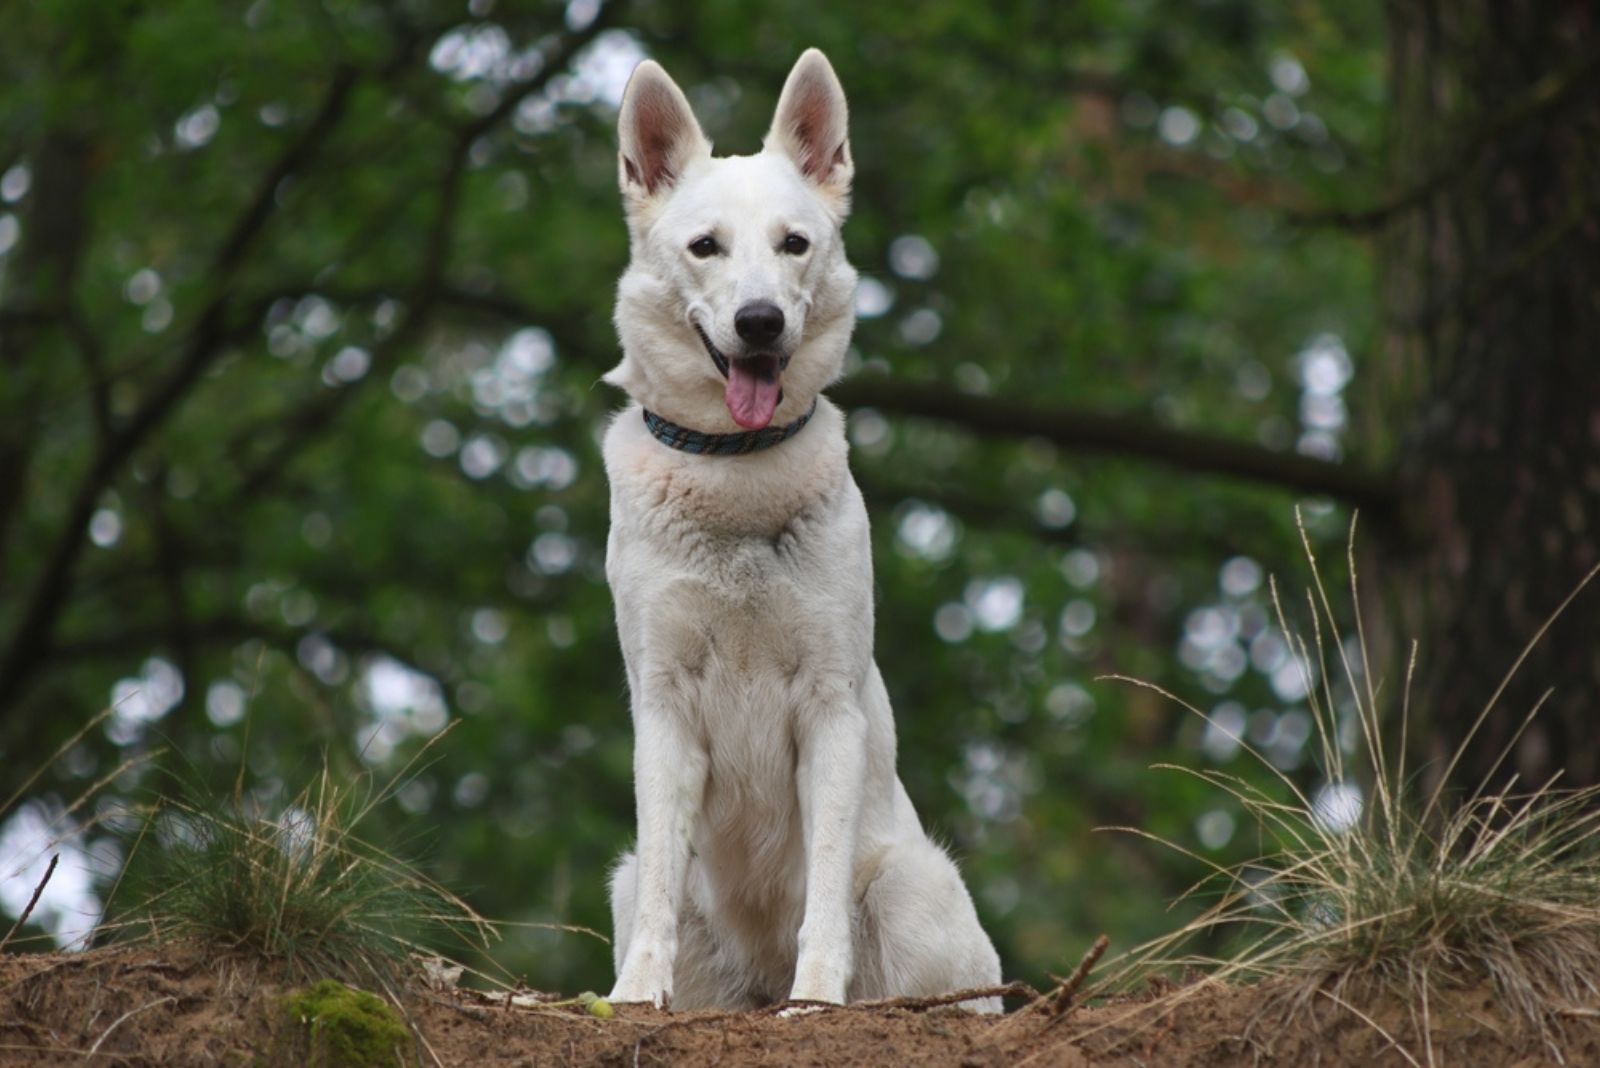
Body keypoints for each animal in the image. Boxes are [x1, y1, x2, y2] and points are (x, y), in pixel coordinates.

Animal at [601, 49, 998, 1016]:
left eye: (794, 244)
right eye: (705, 246)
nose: (759, 323)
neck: (735, 470)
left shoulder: (828, 708)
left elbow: (822, 887)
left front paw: (816, 998)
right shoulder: (662, 708)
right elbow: (662, 878)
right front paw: (634, 996)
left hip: (912, 887)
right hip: (631, 888)